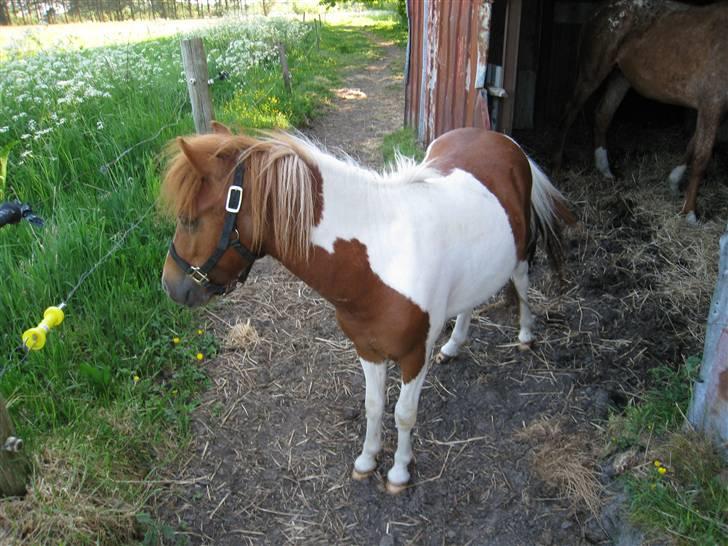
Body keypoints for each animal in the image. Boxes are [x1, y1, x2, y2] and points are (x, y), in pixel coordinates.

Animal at [159, 124, 576, 492]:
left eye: (190, 220)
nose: (170, 286)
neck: (381, 259)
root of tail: (502, 140)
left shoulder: (413, 356)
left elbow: (404, 414)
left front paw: (399, 474)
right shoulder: (367, 348)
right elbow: (374, 405)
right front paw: (366, 460)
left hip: (519, 253)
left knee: (521, 281)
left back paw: (526, 335)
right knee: (469, 303)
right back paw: (454, 345)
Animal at [552, 0, 728, 222]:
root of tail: (599, 12)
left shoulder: (714, 110)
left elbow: (691, 146)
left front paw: (673, 182)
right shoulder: (711, 104)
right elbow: (701, 158)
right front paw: (689, 214)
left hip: (620, 77)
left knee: (602, 115)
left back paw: (605, 170)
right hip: (591, 75)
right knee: (569, 114)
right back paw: (557, 166)